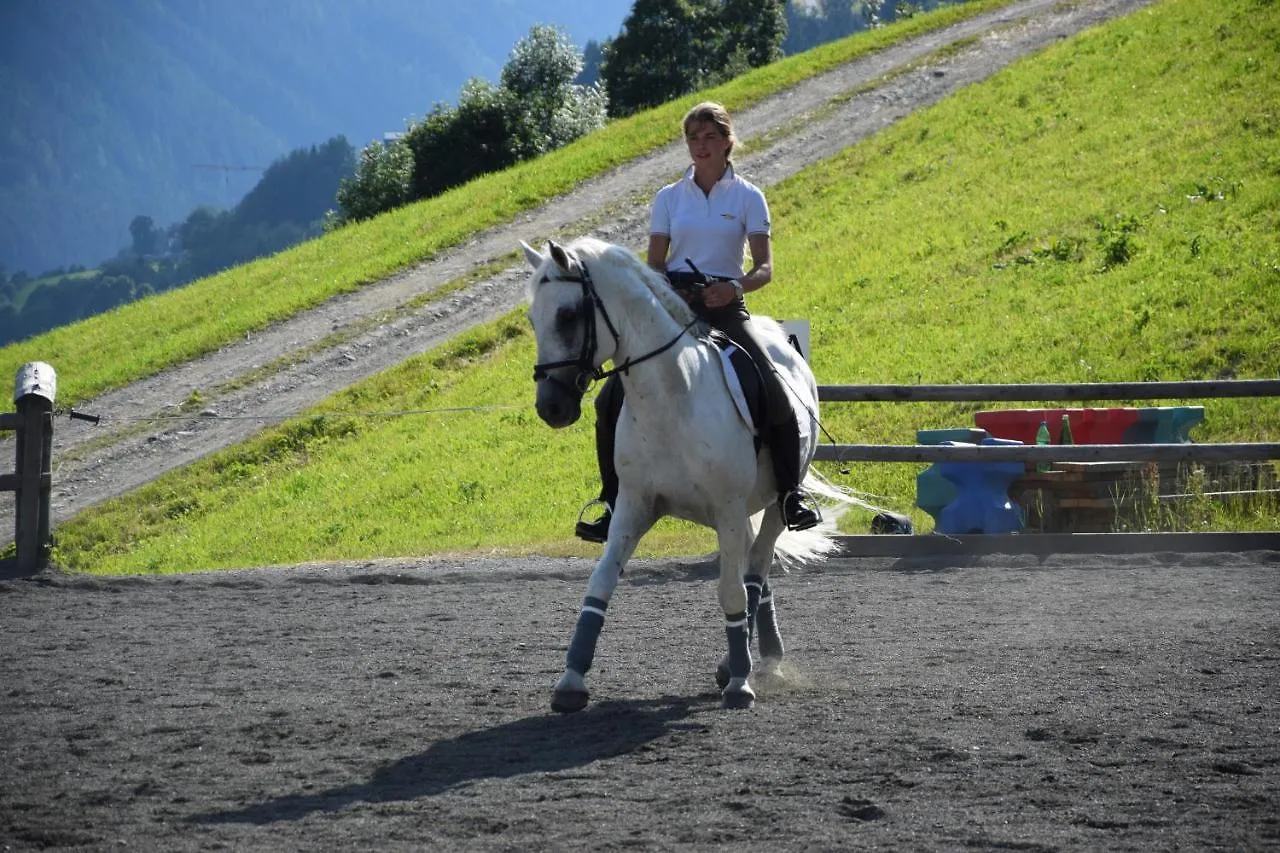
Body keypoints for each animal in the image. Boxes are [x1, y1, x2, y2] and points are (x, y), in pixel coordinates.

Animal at [514, 235, 855, 706]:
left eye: (567, 315)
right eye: (533, 318)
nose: (551, 407)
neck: (671, 399)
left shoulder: (727, 508)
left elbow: (730, 591)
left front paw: (739, 684)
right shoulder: (633, 506)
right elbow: (599, 585)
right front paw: (570, 683)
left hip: (772, 503)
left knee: (756, 567)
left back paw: (751, 662)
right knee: (752, 568)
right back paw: (753, 654)